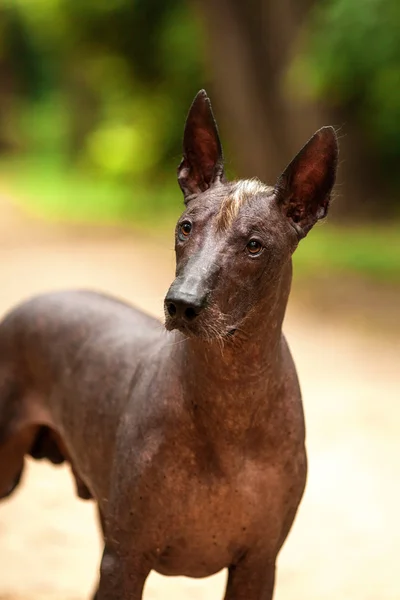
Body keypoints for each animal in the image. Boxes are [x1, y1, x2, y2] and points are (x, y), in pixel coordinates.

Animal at [0, 90, 338, 600]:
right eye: (185, 227)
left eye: (254, 245)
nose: (182, 303)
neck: (230, 402)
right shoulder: (125, 561)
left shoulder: (258, 565)